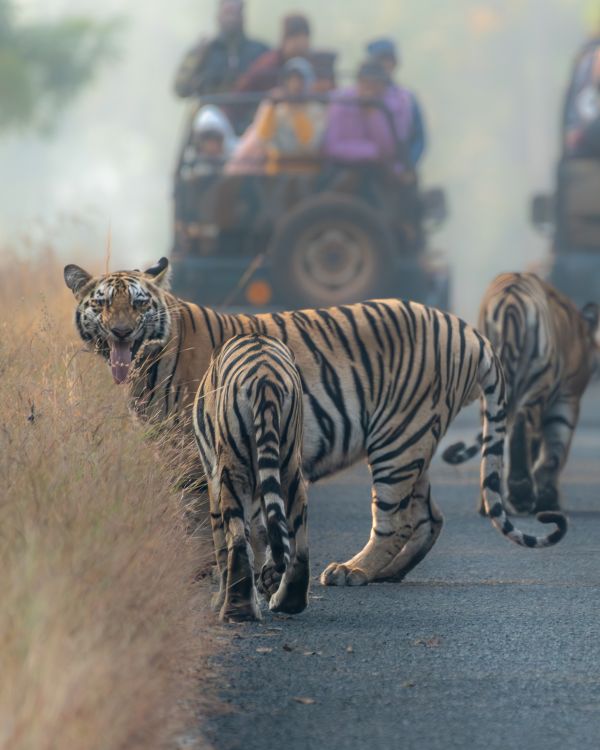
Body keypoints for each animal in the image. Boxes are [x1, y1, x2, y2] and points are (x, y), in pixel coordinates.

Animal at [64, 258, 568, 588]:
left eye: (139, 305)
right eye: (102, 305)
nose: (121, 332)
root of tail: (467, 329)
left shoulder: (195, 453)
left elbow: (202, 515)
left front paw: (208, 569)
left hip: (399, 440)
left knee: (394, 518)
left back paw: (354, 571)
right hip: (417, 443)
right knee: (427, 516)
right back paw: (387, 574)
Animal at [193, 333, 308, 623]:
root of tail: (265, 379)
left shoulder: (214, 480)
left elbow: (225, 544)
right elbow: (262, 534)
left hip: (232, 471)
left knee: (236, 541)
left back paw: (236, 610)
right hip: (289, 465)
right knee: (298, 539)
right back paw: (288, 601)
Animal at [443, 272, 600, 515]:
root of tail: (510, 301)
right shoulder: (567, 397)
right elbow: (554, 450)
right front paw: (548, 499)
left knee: (492, 442)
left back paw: (489, 503)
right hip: (539, 380)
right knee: (522, 425)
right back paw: (521, 493)